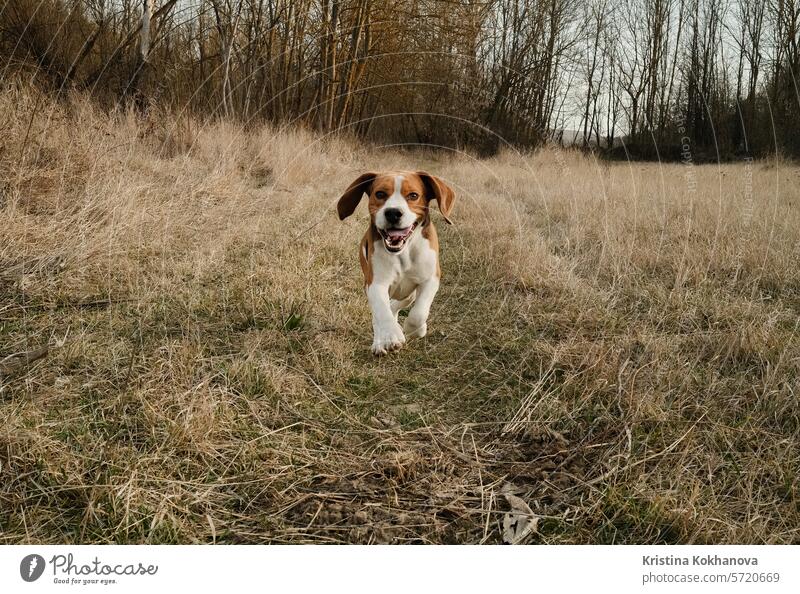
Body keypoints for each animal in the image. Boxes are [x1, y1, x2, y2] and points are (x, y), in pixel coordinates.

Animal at [338, 172, 456, 356]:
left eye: (413, 195)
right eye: (380, 194)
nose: (393, 213)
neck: (403, 252)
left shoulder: (431, 279)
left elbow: (419, 313)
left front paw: (415, 329)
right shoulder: (375, 284)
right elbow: (382, 312)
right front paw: (391, 336)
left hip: (408, 293)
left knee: (399, 304)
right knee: (380, 314)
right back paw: (380, 342)